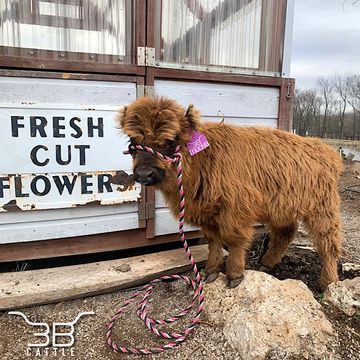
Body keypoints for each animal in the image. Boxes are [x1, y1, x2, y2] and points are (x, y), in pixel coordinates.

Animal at [119, 96, 344, 290]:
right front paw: (211, 271)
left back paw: (329, 281)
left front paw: (234, 274)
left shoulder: (235, 211)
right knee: (286, 232)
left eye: (170, 141)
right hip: (283, 206)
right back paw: (267, 263)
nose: (144, 174)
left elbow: (234, 240)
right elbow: (214, 241)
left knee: (328, 243)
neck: (204, 158)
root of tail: (325, 149)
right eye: (132, 141)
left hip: (323, 209)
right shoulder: (208, 212)